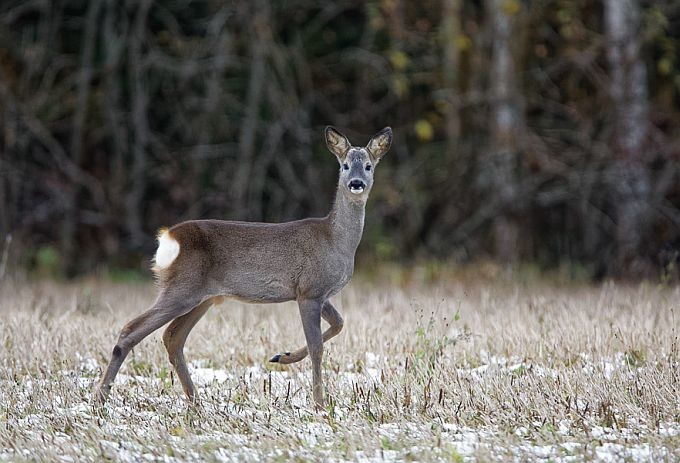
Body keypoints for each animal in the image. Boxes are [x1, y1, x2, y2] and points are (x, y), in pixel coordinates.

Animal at [97, 125, 394, 408]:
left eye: (369, 166)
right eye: (345, 165)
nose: (356, 183)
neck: (335, 240)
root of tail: (168, 238)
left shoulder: (320, 294)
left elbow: (340, 324)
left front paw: (282, 356)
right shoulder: (308, 290)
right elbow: (317, 347)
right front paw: (320, 405)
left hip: (203, 297)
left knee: (173, 337)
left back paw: (196, 403)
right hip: (182, 288)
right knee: (131, 330)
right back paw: (100, 398)